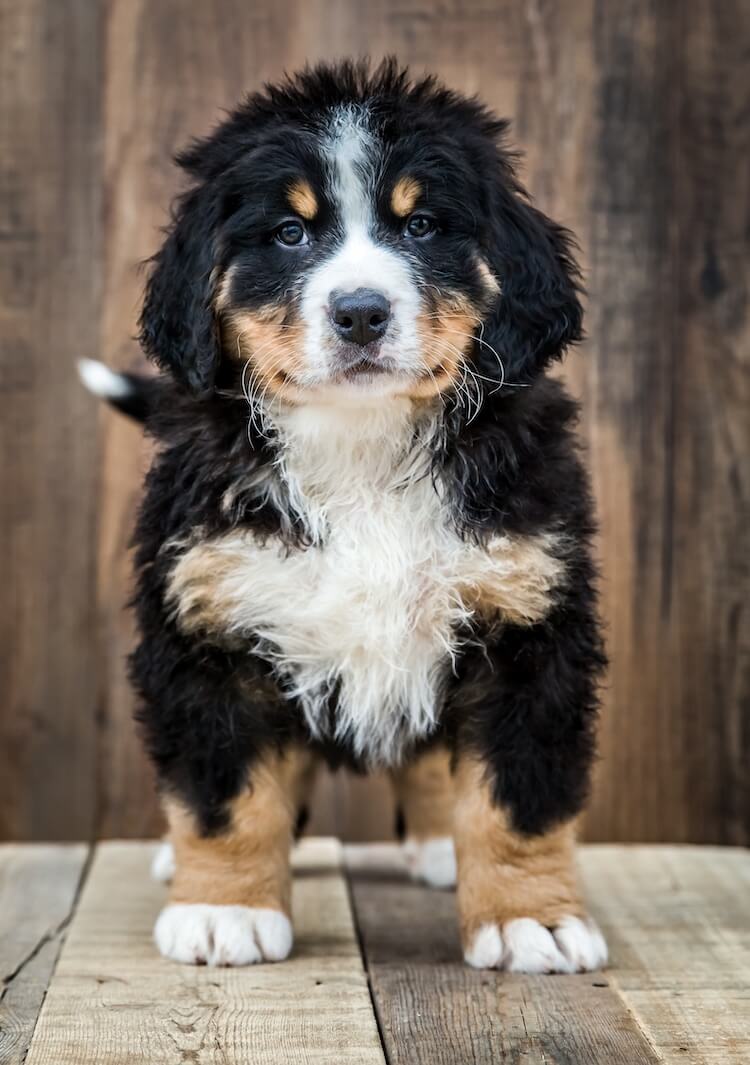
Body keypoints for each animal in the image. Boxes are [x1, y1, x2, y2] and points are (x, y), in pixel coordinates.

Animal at [80, 60, 609, 975]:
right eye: (291, 234)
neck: (361, 447)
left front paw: (529, 918)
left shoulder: (528, 621)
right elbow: (227, 792)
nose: (360, 311)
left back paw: (437, 844)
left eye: (423, 225)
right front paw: (222, 907)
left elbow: (517, 797)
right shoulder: (213, 624)